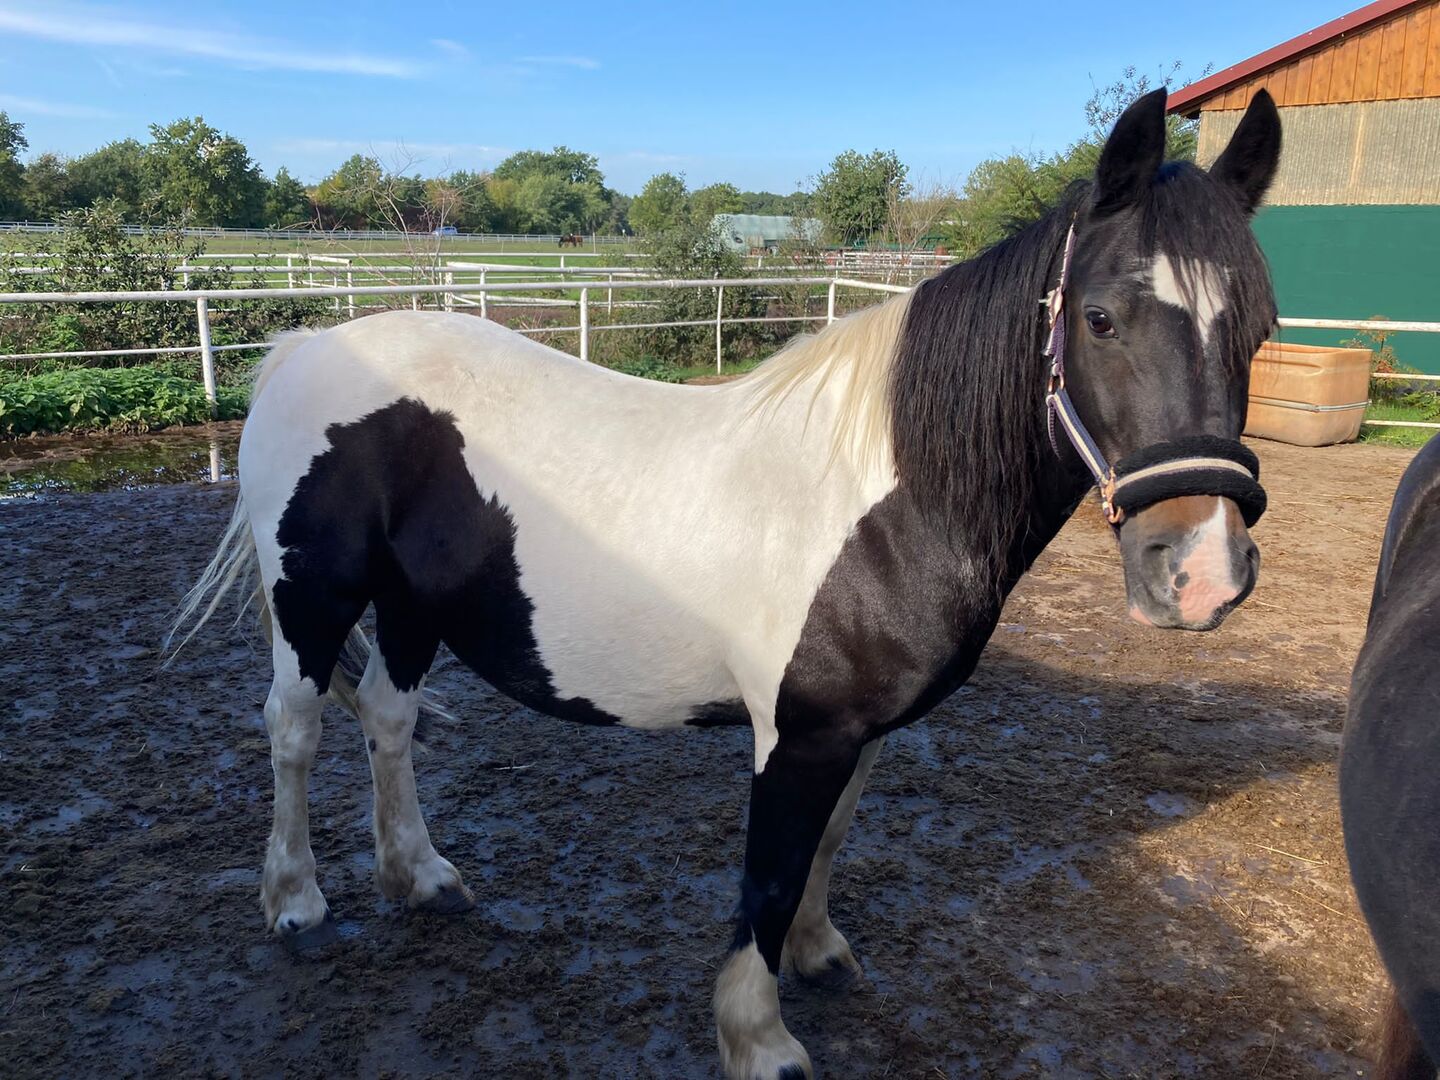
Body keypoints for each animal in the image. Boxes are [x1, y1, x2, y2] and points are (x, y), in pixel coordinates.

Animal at [171, 89, 1281, 1079]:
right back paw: (297, 904)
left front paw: (818, 955)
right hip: (315, 598)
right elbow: (772, 873)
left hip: (413, 604)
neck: (880, 491)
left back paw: (421, 877)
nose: (1200, 572)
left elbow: (827, 846)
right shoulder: (796, 734)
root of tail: (309, 346)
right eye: (1100, 319)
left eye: (1263, 326)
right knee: (295, 728)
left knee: (388, 718)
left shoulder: (858, 731)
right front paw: (760, 1039)